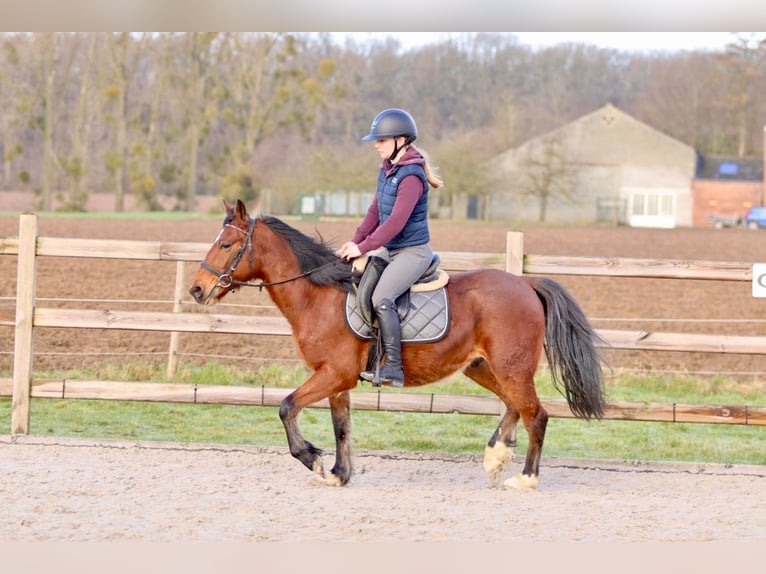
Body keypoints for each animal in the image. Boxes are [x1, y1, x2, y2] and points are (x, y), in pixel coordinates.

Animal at [189, 199, 607, 489]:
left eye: (226, 244)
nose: (197, 290)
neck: (318, 295)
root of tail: (526, 283)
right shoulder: (335, 380)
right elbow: (341, 427)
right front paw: (340, 473)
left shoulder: (334, 374)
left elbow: (286, 407)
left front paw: (313, 459)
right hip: (484, 368)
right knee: (512, 406)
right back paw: (495, 457)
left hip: (511, 367)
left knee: (536, 414)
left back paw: (524, 478)